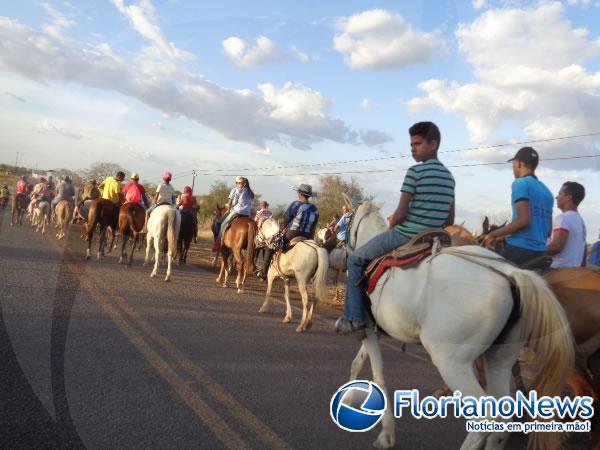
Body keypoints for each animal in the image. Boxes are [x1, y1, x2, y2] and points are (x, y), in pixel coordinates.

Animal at [342, 202, 572, 450]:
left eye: (345, 219)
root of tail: (512, 274)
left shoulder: (367, 328)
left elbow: (378, 375)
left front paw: (385, 434)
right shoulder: (372, 328)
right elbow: (358, 362)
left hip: (452, 362)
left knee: (485, 417)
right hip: (500, 358)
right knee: (502, 417)